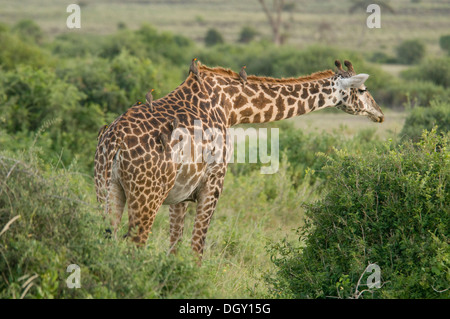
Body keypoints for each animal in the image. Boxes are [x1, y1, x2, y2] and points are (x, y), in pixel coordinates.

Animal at [94, 59, 384, 262]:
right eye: (362, 89)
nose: (379, 114)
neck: (232, 106)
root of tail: (113, 142)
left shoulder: (180, 194)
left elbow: (174, 248)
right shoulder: (213, 184)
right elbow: (197, 249)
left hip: (107, 189)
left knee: (108, 242)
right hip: (148, 195)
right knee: (135, 246)